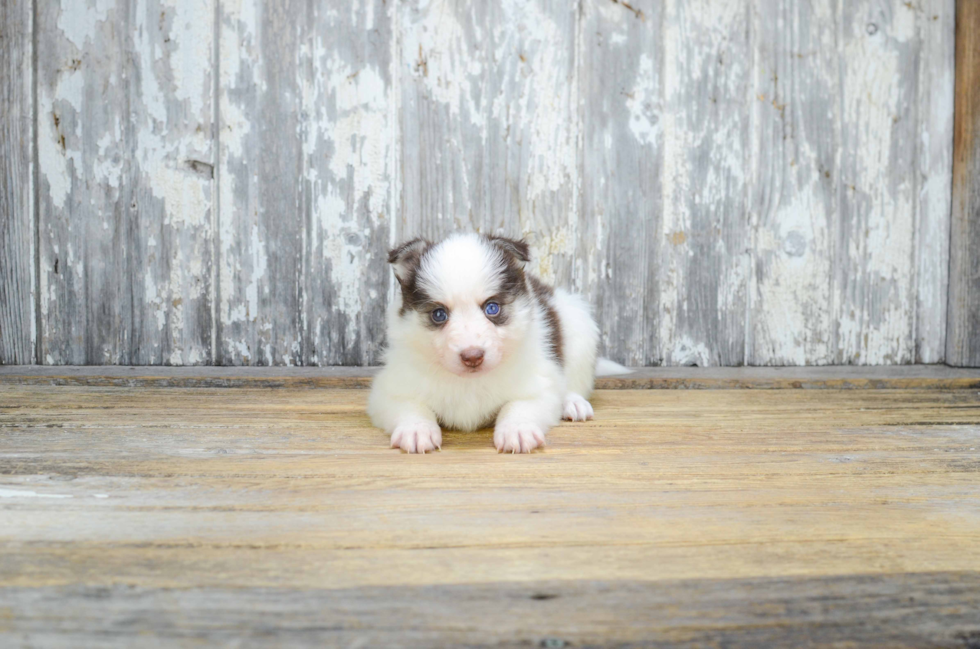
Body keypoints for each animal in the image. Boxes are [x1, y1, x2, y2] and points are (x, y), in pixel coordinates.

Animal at [368, 232, 628, 450]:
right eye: (439, 314)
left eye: (492, 308)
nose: (472, 357)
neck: (469, 383)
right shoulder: (390, 388)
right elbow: (410, 405)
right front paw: (415, 429)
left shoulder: (538, 384)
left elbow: (519, 405)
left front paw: (518, 429)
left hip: (580, 329)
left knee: (575, 381)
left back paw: (572, 402)